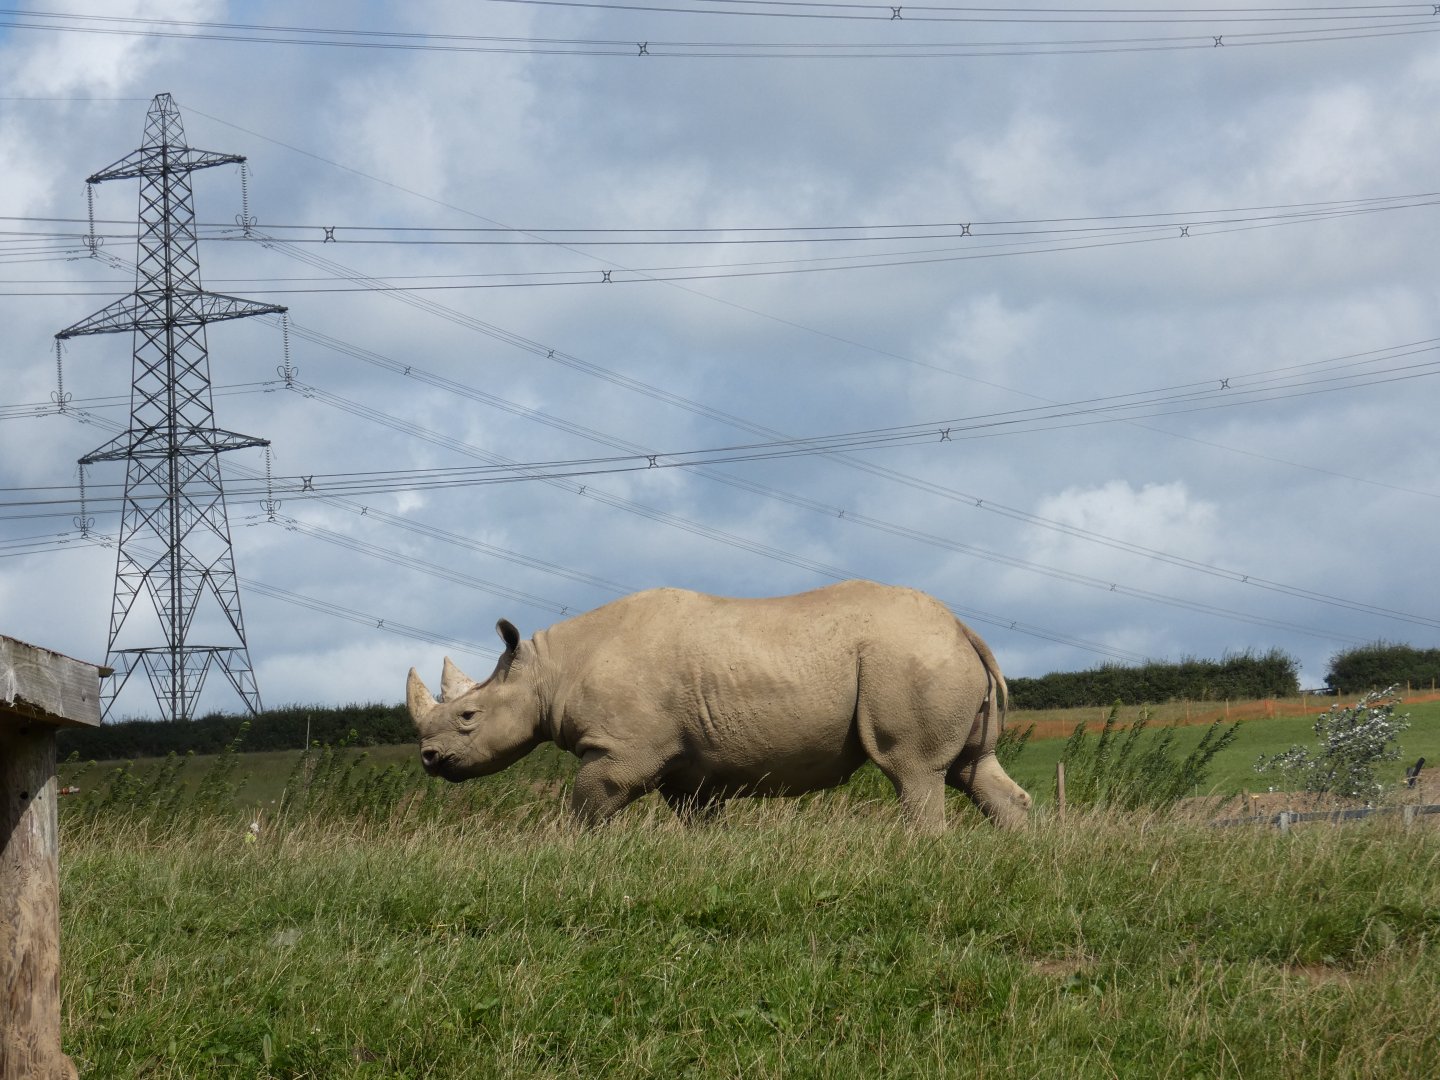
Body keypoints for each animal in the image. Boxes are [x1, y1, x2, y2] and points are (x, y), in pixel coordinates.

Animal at [406, 580, 1031, 830]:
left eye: (467, 718)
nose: (429, 759)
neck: (547, 671)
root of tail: (961, 627)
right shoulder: (686, 763)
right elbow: (698, 818)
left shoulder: (623, 751)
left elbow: (585, 804)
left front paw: (570, 852)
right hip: (933, 658)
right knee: (971, 768)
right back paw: (1020, 851)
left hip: (905, 659)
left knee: (913, 769)